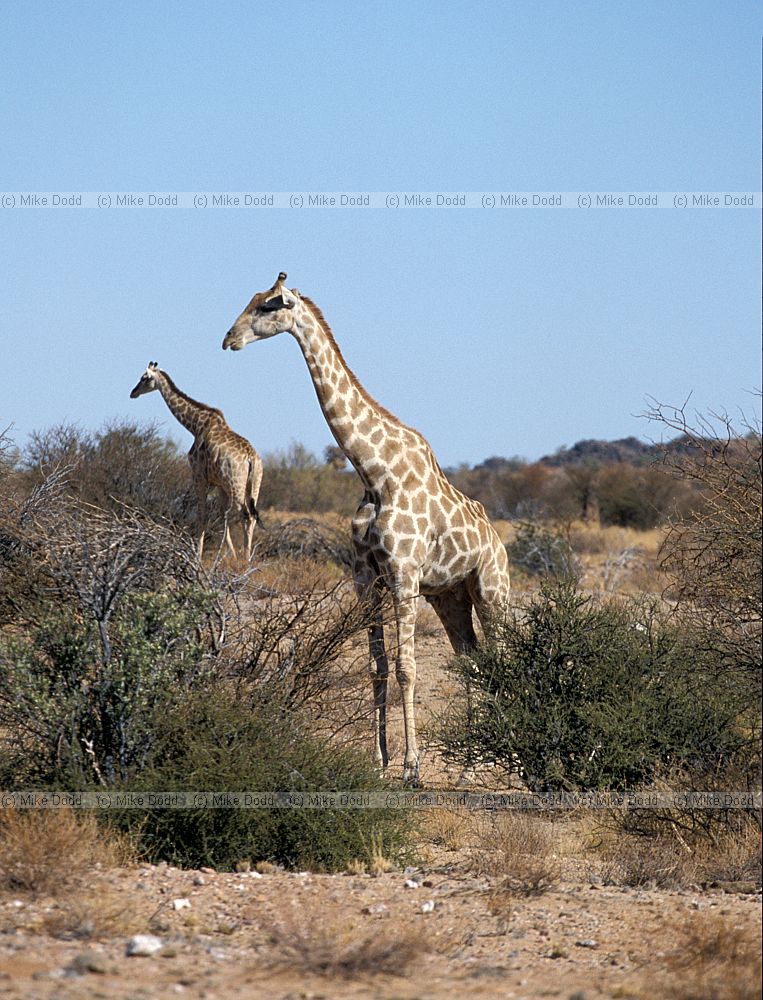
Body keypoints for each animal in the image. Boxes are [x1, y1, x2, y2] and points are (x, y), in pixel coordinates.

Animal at [130, 362, 264, 564]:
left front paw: (198, 556)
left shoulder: (199, 476)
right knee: (251, 516)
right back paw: (246, 558)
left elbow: (202, 516)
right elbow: (222, 517)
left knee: (245, 515)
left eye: (144, 378)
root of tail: (252, 458)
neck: (194, 425)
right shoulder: (219, 483)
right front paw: (228, 554)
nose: (133, 392)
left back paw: (245, 559)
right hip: (253, 484)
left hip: (237, 485)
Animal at [222, 274, 508, 780]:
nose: (228, 339)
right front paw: (379, 762)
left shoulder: (404, 575)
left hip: (492, 589)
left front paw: (412, 767)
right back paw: (469, 767)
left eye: (270, 304)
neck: (375, 473)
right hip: (452, 596)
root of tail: (500, 543)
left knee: (503, 658)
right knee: (472, 662)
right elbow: (377, 666)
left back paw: (503, 762)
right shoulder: (366, 576)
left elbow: (407, 667)